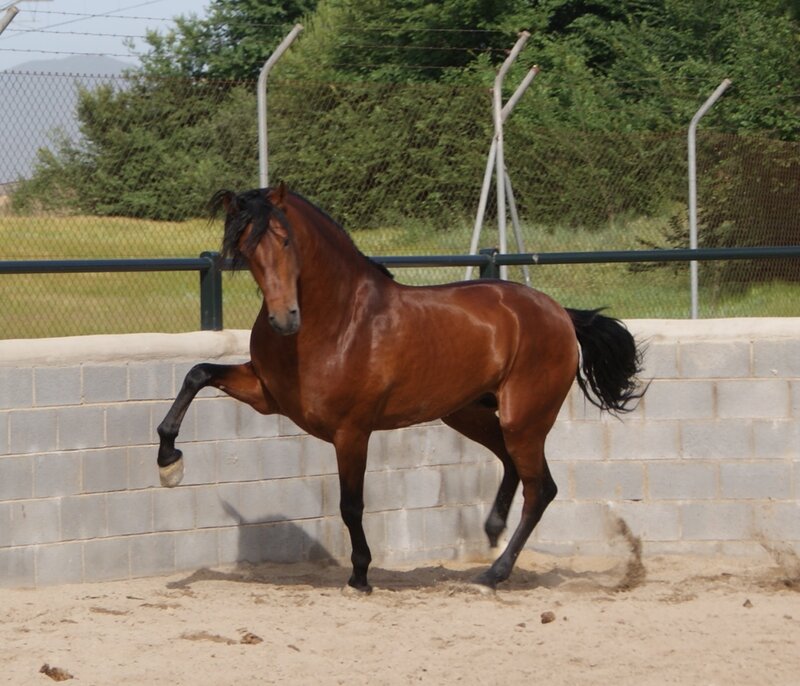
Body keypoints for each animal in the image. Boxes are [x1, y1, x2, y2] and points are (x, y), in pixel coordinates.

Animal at [156, 183, 645, 593]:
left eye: (285, 240)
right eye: (243, 247)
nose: (283, 319)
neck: (338, 321)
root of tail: (559, 313)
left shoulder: (352, 431)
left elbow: (351, 505)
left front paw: (360, 576)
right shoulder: (267, 396)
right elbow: (197, 373)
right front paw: (168, 462)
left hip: (523, 420)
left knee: (541, 489)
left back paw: (494, 573)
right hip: (468, 413)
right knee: (513, 468)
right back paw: (490, 531)